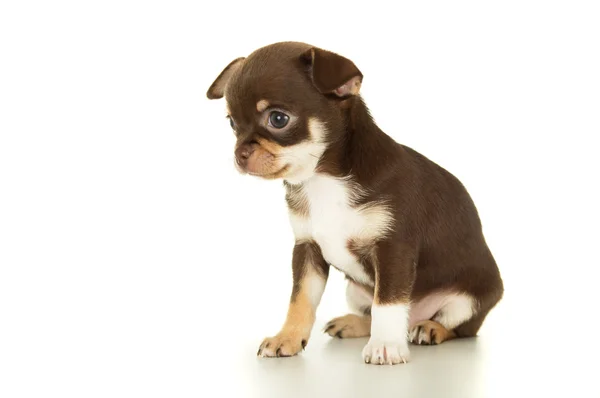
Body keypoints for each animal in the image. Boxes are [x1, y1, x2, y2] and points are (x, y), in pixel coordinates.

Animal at [205, 42, 502, 366]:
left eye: (278, 119)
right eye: (232, 123)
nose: (240, 154)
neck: (322, 180)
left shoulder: (393, 249)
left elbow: (388, 301)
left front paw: (385, 345)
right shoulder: (307, 248)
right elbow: (300, 299)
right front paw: (288, 337)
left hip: (467, 301)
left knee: (459, 328)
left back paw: (428, 327)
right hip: (355, 292)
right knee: (371, 313)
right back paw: (354, 323)